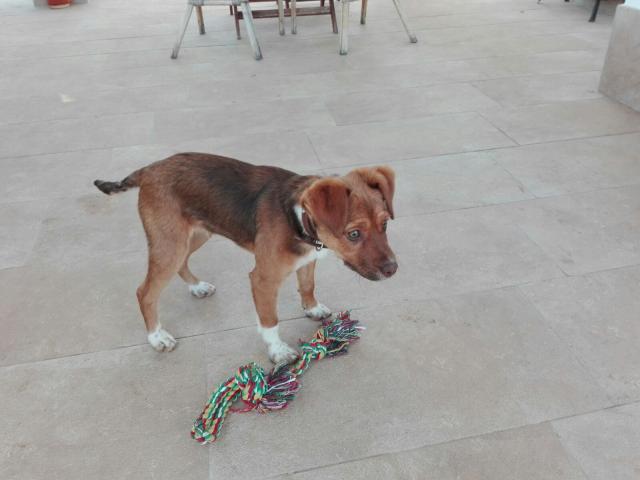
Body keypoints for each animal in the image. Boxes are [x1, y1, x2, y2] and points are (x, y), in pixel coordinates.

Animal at [94, 153, 397, 363]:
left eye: (385, 224)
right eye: (354, 234)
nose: (393, 270)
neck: (298, 219)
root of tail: (149, 169)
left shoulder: (307, 260)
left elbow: (308, 285)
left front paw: (312, 308)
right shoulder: (263, 279)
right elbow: (269, 320)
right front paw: (278, 351)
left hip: (196, 234)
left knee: (182, 264)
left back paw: (197, 286)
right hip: (170, 244)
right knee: (145, 292)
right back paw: (157, 337)